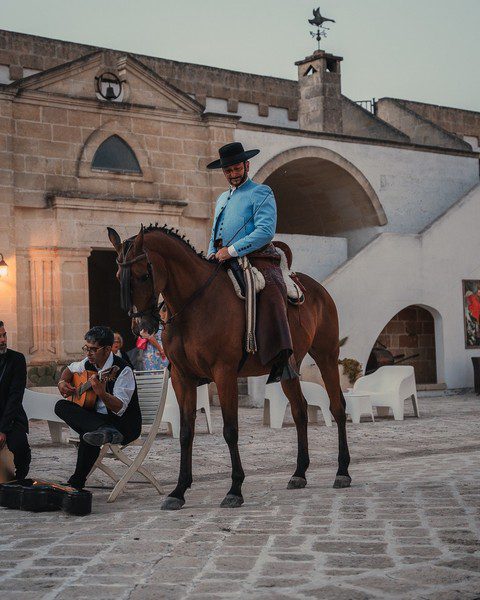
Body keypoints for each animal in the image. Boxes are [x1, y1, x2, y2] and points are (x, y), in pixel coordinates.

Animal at [108, 225, 348, 510]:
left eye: (144, 275)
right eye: (118, 276)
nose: (142, 327)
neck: (195, 304)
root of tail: (316, 288)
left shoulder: (224, 374)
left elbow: (230, 430)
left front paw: (235, 489)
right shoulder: (182, 377)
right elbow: (186, 432)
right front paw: (179, 490)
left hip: (327, 356)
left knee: (337, 407)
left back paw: (342, 472)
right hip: (290, 366)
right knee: (300, 411)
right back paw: (299, 473)